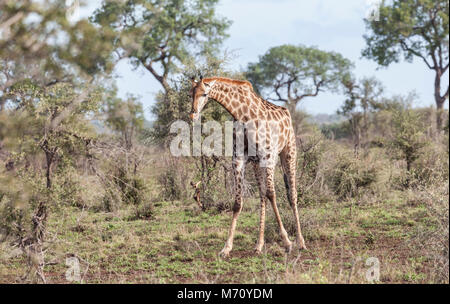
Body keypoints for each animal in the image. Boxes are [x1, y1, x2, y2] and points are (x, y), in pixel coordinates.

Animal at [188, 76, 308, 256]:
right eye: (190, 94)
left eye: (205, 94)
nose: (192, 115)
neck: (242, 115)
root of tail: (287, 113)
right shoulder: (238, 160)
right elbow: (238, 203)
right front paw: (226, 248)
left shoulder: (268, 157)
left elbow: (272, 194)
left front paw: (287, 242)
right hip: (257, 164)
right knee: (262, 195)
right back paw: (259, 244)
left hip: (289, 153)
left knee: (291, 195)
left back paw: (301, 242)